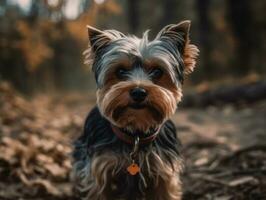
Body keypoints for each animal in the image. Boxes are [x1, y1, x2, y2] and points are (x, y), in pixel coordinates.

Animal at [71, 20, 198, 200]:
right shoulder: (99, 169)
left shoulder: (163, 169)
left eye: (157, 71)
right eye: (120, 71)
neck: (136, 135)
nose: (138, 92)